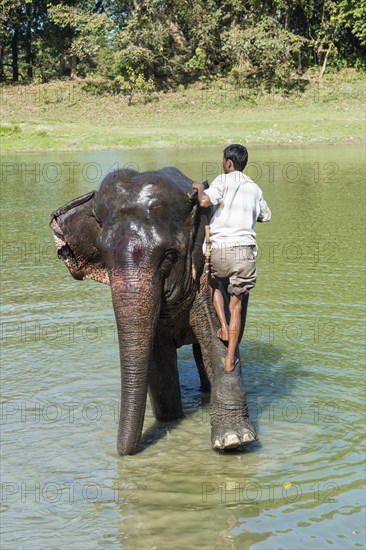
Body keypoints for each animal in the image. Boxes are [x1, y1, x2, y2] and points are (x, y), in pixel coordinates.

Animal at [49, 168, 258, 458]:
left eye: (169, 256)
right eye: (102, 255)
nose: (119, 454)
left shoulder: (206, 273)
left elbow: (220, 340)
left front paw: (233, 440)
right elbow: (157, 361)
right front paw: (169, 421)